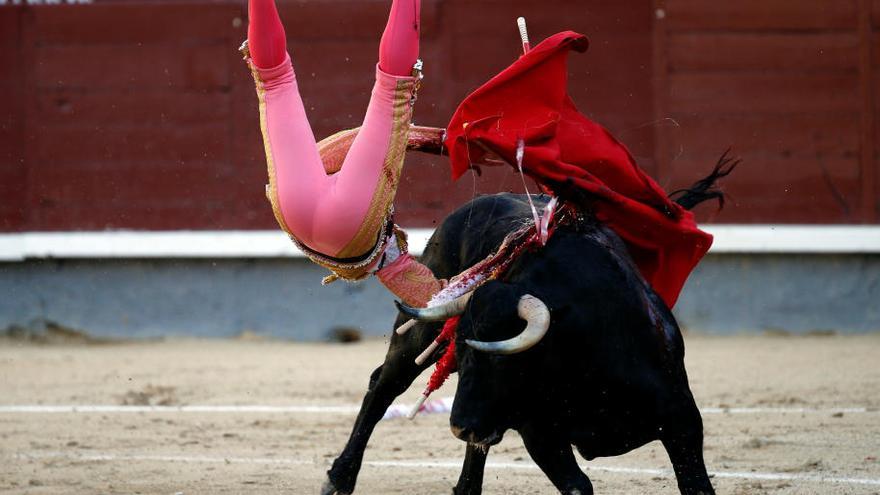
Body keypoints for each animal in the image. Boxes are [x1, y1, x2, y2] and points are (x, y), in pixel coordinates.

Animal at [322, 189, 720, 492]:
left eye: (500, 358)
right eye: (459, 355)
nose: (458, 425)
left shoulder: (683, 420)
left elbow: (697, 484)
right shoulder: (540, 433)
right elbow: (579, 485)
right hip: (419, 333)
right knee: (383, 387)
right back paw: (339, 478)